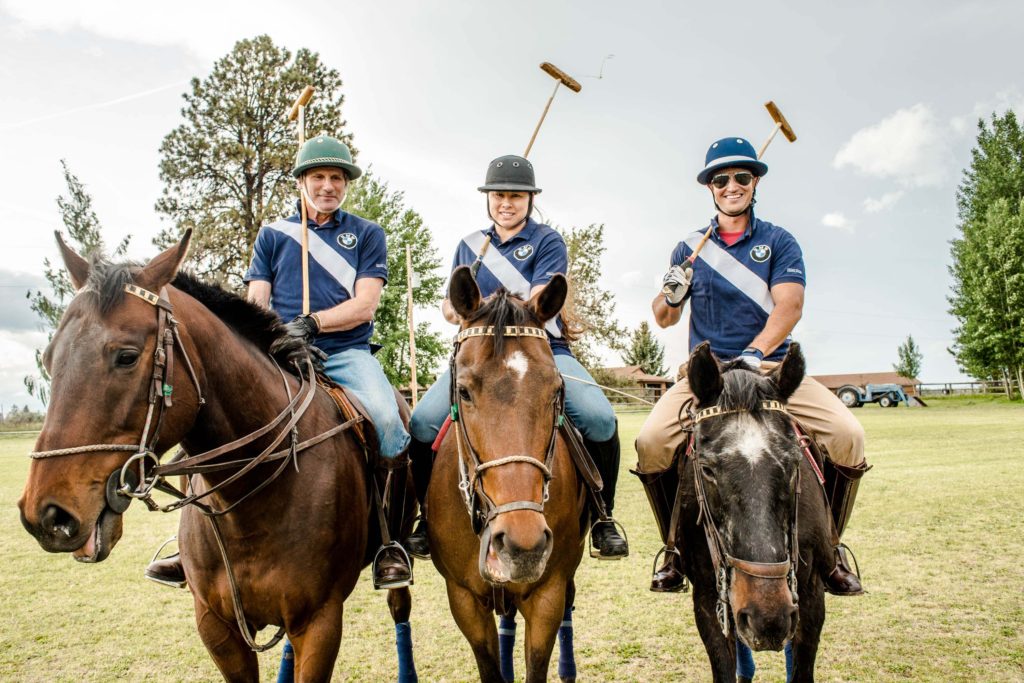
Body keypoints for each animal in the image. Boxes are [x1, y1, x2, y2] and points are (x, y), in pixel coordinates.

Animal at [18, 231, 415, 683]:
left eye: (127, 356)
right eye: (49, 358)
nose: (47, 515)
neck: (250, 500)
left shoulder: (320, 622)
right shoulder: (216, 626)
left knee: (399, 607)